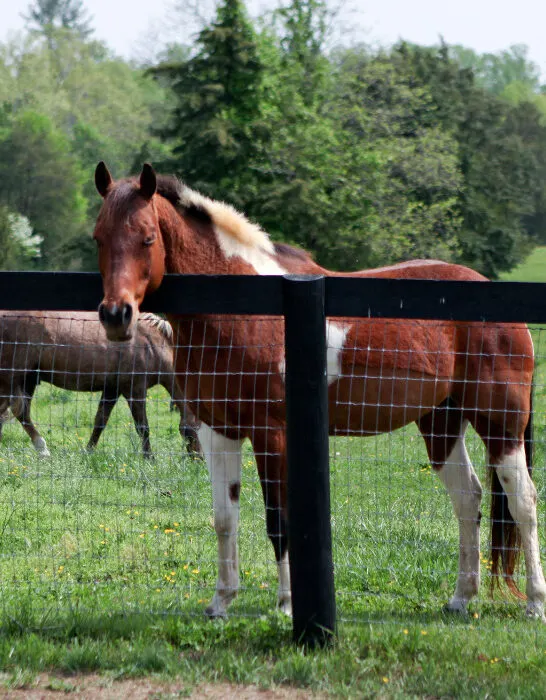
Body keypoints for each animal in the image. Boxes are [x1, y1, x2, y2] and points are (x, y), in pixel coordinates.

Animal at [0, 310, 202, 459]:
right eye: (196, 429)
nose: (199, 459)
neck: (151, 342)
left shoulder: (112, 389)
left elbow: (100, 422)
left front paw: (89, 451)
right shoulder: (134, 389)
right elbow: (143, 427)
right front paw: (149, 458)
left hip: (26, 379)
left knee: (18, 413)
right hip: (12, 377)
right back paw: (42, 449)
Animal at [92, 161, 546, 622]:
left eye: (148, 238)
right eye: (99, 237)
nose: (116, 316)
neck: (247, 309)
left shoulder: (271, 433)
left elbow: (279, 520)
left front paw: (286, 603)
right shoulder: (217, 431)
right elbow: (224, 518)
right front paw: (221, 601)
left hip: (500, 424)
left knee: (523, 502)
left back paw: (534, 604)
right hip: (442, 422)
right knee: (468, 498)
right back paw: (461, 598)